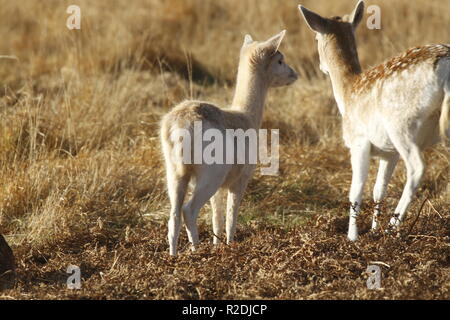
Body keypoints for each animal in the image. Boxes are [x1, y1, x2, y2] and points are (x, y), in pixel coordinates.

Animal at [160, 30, 298, 255]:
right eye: (280, 59)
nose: (294, 74)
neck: (247, 116)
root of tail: (179, 124)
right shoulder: (240, 179)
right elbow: (231, 217)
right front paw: (229, 245)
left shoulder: (220, 188)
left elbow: (217, 217)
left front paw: (217, 245)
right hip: (211, 174)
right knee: (189, 210)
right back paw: (196, 251)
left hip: (175, 173)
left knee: (173, 216)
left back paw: (173, 256)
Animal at [298, 0, 450, 240]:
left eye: (315, 38)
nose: (322, 67)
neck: (347, 94)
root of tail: (445, 66)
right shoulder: (389, 152)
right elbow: (379, 189)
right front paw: (373, 229)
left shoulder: (358, 141)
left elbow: (356, 189)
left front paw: (353, 237)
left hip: (401, 124)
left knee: (416, 168)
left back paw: (393, 227)